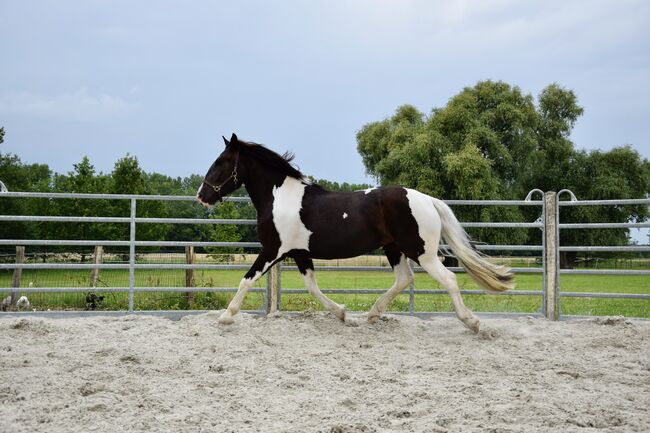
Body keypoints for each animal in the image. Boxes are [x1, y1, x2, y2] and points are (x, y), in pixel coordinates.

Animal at [194, 132, 512, 330]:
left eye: (221, 162)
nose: (201, 196)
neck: (280, 197)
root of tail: (427, 199)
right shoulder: (299, 253)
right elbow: (312, 286)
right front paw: (343, 313)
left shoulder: (273, 250)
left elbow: (246, 280)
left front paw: (226, 317)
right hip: (394, 249)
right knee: (404, 278)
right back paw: (372, 314)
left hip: (422, 252)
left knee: (448, 280)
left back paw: (472, 322)